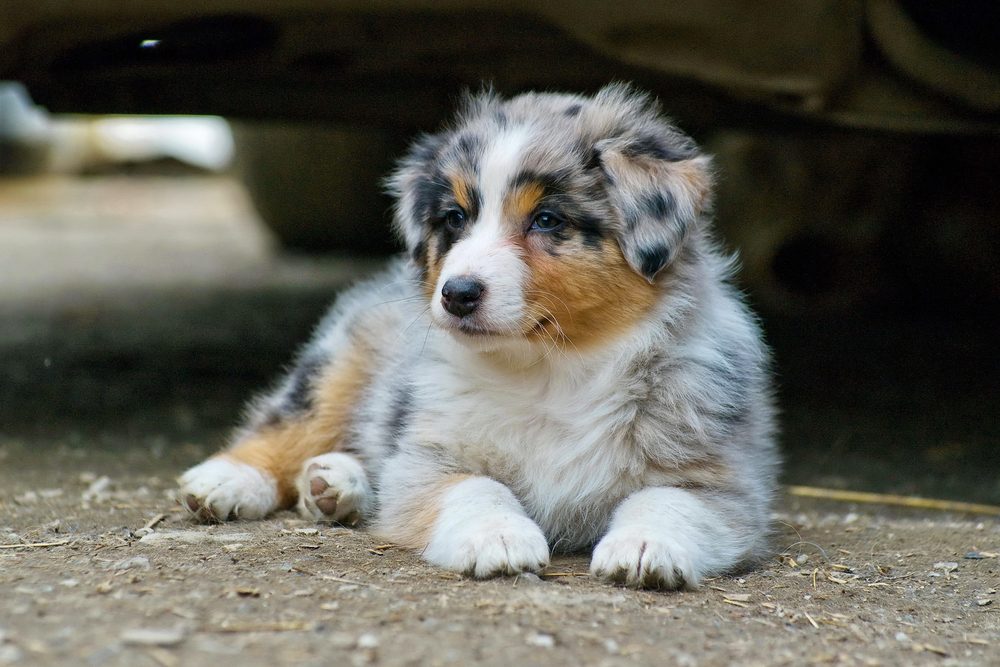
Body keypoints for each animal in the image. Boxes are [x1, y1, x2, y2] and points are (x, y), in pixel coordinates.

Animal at [176, 83, 776, 588]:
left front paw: (645, 547)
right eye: (455, 218)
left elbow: (667, 499)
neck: (551, 370)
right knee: (290, 420)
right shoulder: (433, 455)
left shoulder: (725, 482)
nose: (456, 293)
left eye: (547, 220)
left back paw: (334, 485)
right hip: (340, 362)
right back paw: (229, 481)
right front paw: (500, 538)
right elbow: (476, 487)